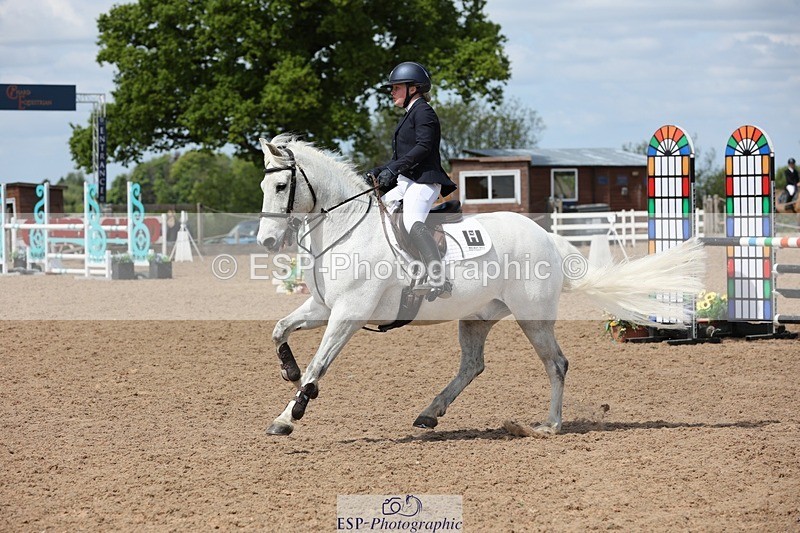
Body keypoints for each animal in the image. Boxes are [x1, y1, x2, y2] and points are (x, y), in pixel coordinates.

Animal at [256, 133, 705, 436]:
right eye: (263, 186)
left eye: (280, 186)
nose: (267, 242)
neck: (347, 229)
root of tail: (547, 238)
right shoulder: (323, 308)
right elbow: (279, 330)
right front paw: (290, 373)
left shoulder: (349, 314)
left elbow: (319, 364)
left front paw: (288, 416)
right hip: (476, 317)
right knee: (473, 365)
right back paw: (430, 413)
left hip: (532, 318)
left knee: (556, 363)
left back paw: (550, 425)